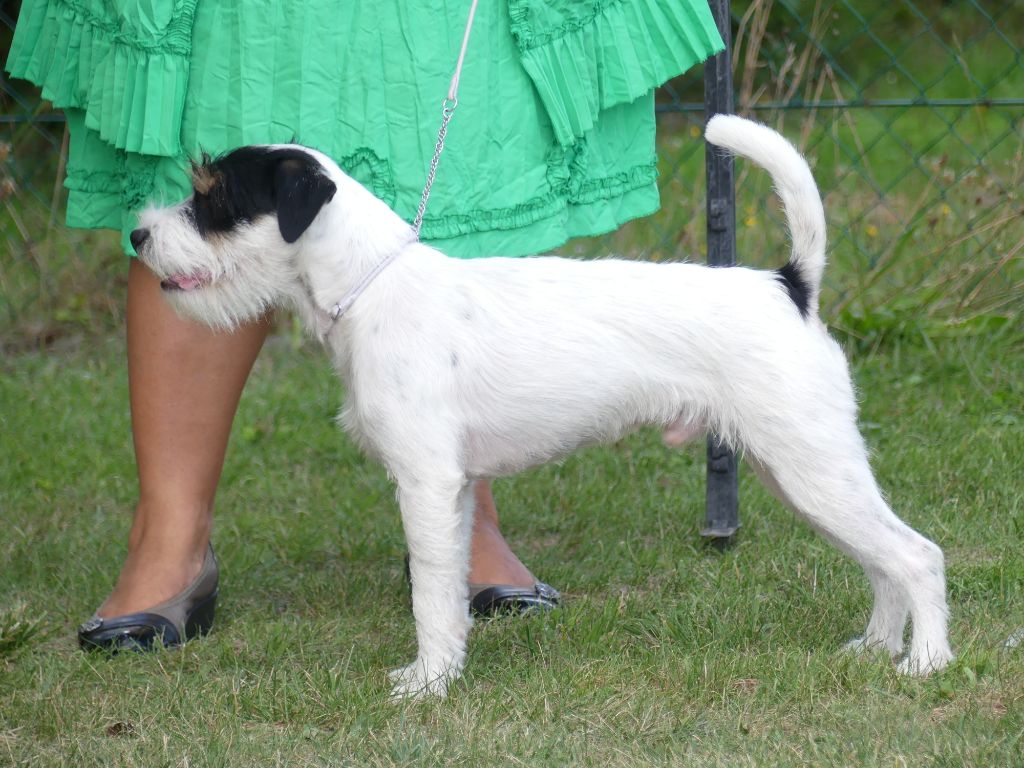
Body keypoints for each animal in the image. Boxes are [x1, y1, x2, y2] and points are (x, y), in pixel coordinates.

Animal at [134, 117, 950, 700]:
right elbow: (448, 591)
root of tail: (790, 285)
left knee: (916, 555)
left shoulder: (425, 483)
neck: (372, 285)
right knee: (881, 562)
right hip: (803, 474)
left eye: (214, 199)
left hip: (813, 466)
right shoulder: (456, 489)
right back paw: (876, 648)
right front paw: (440, 672)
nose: (138, 234)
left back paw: (926, 662)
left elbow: (430, 594)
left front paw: (427, 687)